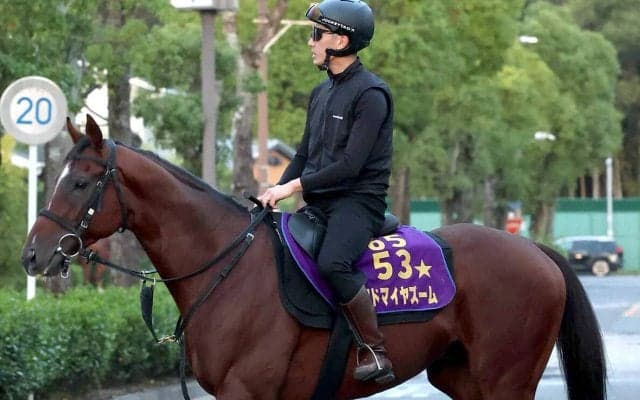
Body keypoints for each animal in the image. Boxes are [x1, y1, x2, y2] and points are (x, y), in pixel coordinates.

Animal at [21, 115, 606, 400]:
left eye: (78, 182)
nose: (31, 256)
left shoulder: (246, 392)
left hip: (506, 382)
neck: (227, 266)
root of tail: (537, 251)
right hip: (463, 381)